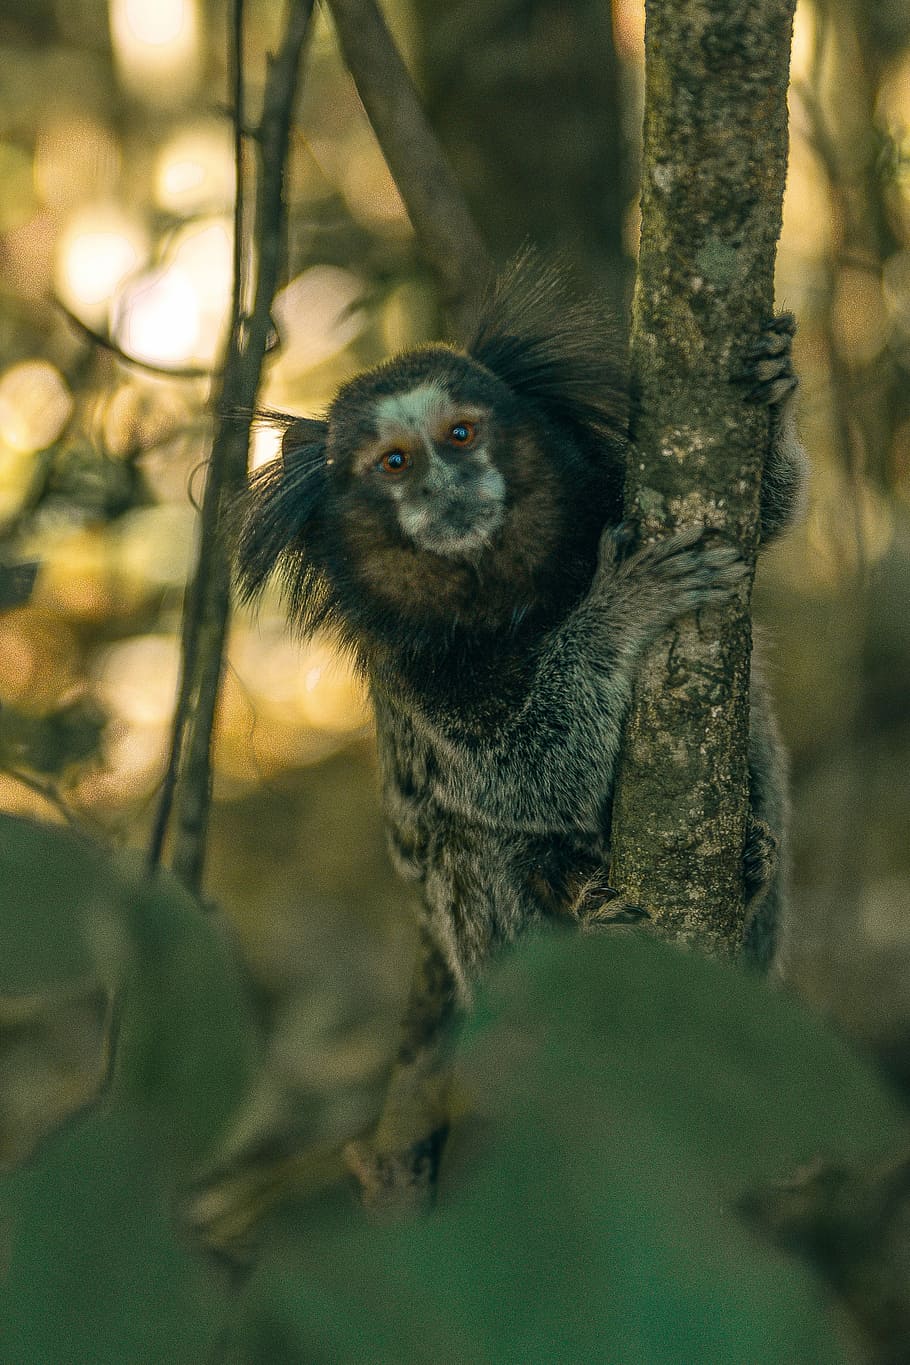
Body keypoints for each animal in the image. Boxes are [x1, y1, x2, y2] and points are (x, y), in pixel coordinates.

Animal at [235, 257, 805, 1002]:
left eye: (460, 435)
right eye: (395, 463)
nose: (443, 488)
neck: (502, 590)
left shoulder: (600, 491)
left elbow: (766, 516)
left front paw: (774, 387)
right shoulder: (411, 666)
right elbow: (528, 772)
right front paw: (622, 605)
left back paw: (750, 865)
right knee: (464, 842)